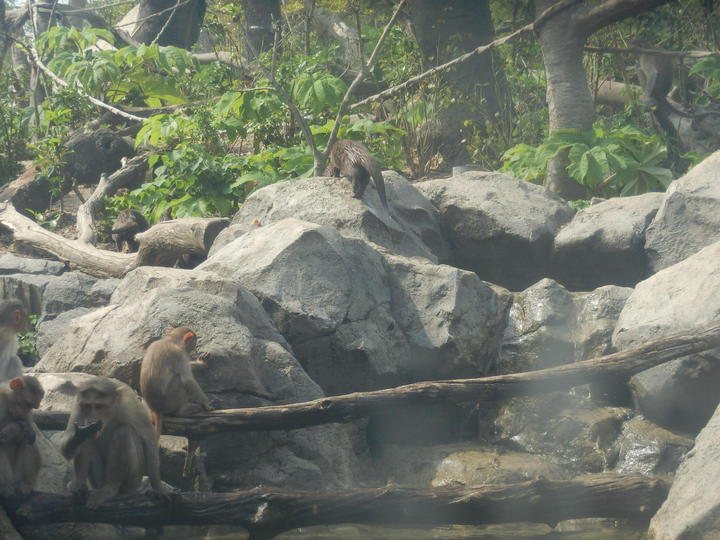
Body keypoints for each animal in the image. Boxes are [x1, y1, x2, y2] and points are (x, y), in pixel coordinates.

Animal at [60, 376, 167, 506]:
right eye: (87, 406)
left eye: (98, 406)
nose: (91, 419)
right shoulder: (78, 405)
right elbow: (68, 443)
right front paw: (81, 434)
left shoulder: (130, 404)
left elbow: (149, 439)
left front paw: (158, 488)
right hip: (97, 480)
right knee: (87, 441)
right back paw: (79, 484)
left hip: (133, 480)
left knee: (124, 431)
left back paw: (110, 488)